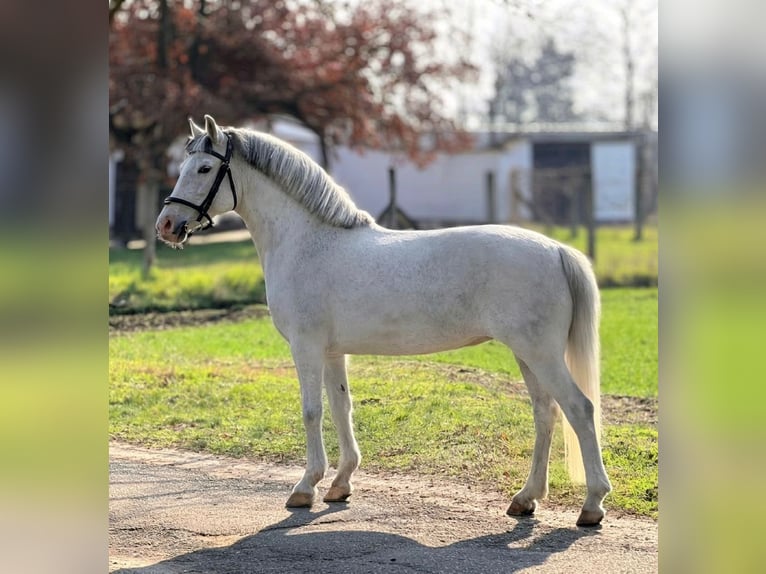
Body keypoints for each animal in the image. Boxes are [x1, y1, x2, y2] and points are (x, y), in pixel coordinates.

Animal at [156, 115, 612, 527]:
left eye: (204, 168)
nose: (167, 226)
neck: (308, 241)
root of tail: (556, 250)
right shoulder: (332, 352)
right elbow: (341, 407)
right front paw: (340, 484)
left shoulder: (305, 347)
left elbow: (311, 411)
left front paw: (305, 487)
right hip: (527, 354)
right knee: (545, 414)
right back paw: (525, 498)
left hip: (540, 353)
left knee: (579, 409)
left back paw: (591, 505)